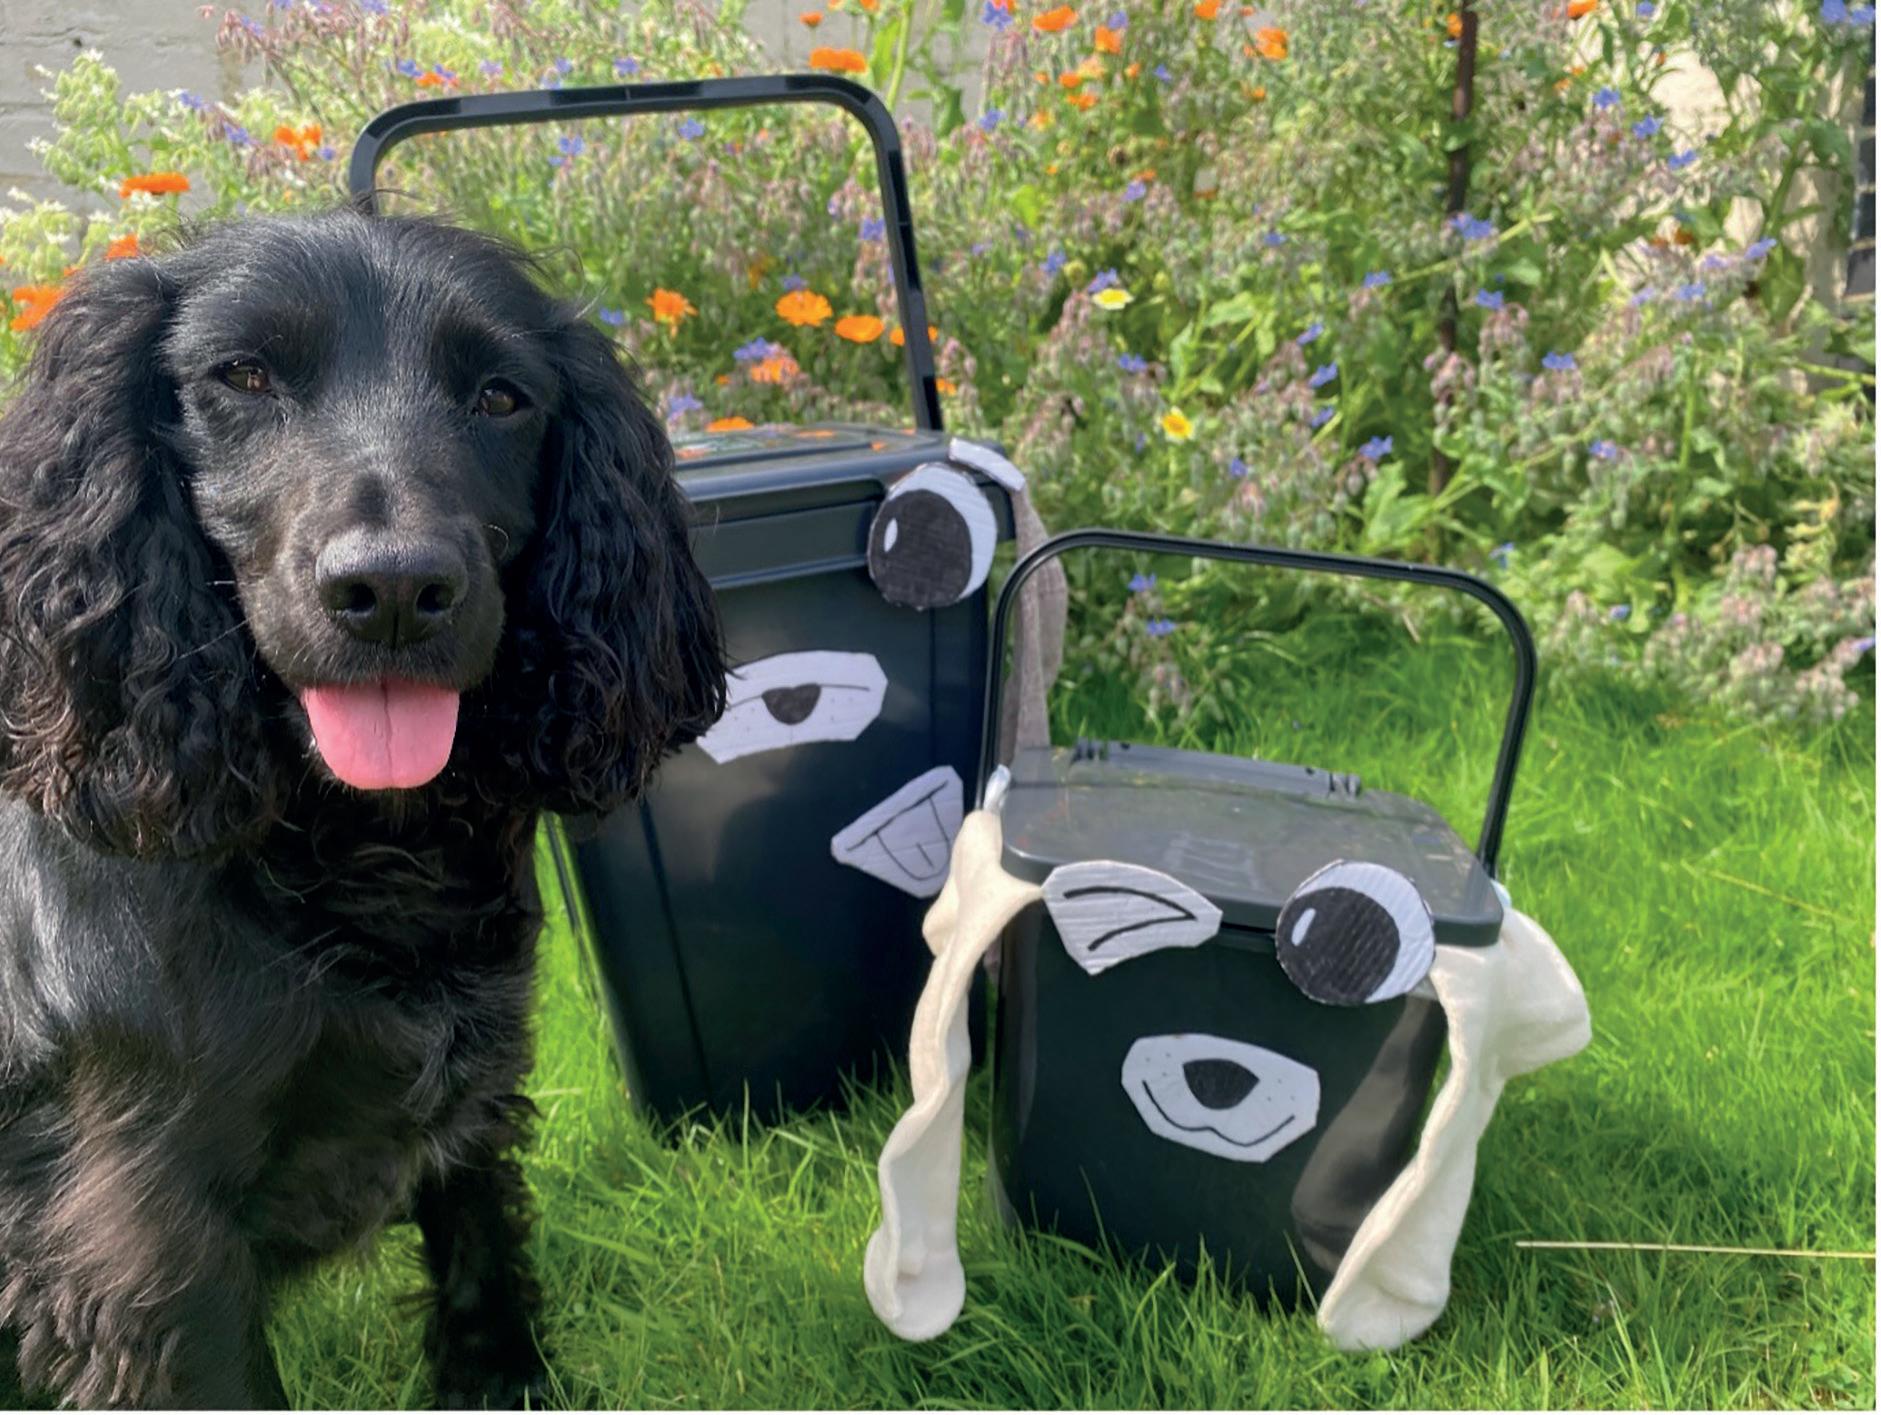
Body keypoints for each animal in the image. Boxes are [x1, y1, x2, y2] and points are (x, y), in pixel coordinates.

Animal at [0, 207, 726, 1407]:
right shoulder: (145, 1244)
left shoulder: (472, 1099)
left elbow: (484, 1268)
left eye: (500, 396)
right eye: (242, 375)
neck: (347, 846)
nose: (391, 591)